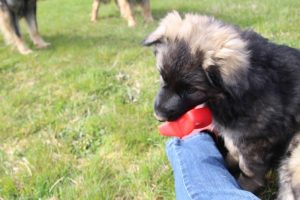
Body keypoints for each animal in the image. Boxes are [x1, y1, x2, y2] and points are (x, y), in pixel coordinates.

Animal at [144, 11, 300, 198]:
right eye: (162, 75)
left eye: (191, 90)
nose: (158, 115)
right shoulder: (236, 136)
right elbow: (233, 150)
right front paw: (226, 164)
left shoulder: (255, 142)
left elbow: (248, 169)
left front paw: (244, 186)